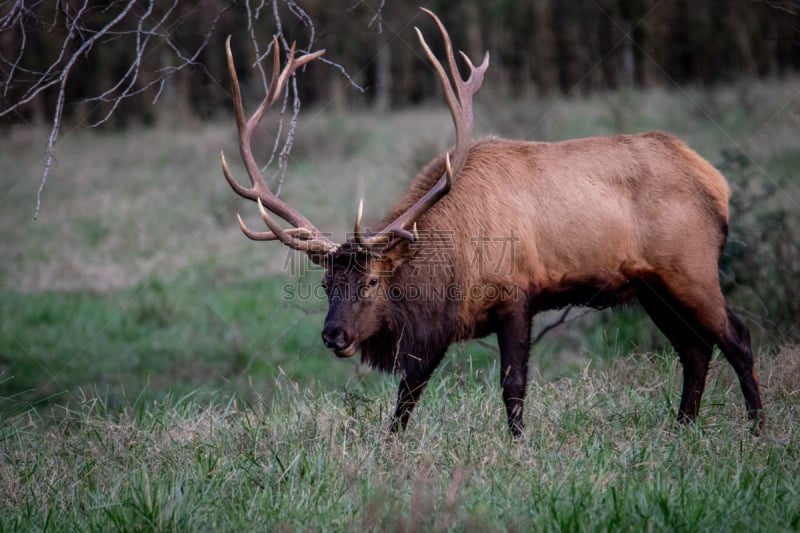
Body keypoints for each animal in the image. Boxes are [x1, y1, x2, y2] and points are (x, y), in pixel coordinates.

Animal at [219, 9, 764, 436]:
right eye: (327, 283)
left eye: (372, 280)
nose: (334, 335)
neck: (452, 267)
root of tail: (717, 183)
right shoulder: (436, 329)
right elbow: (407, 396)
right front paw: (390, 448)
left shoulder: (516, 294)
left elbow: (513, 385)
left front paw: (519, 446)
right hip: (651, 285)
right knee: (694, 348)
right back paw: (682, 427)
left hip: (690, 265)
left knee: (736, 336)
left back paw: (758, 430)